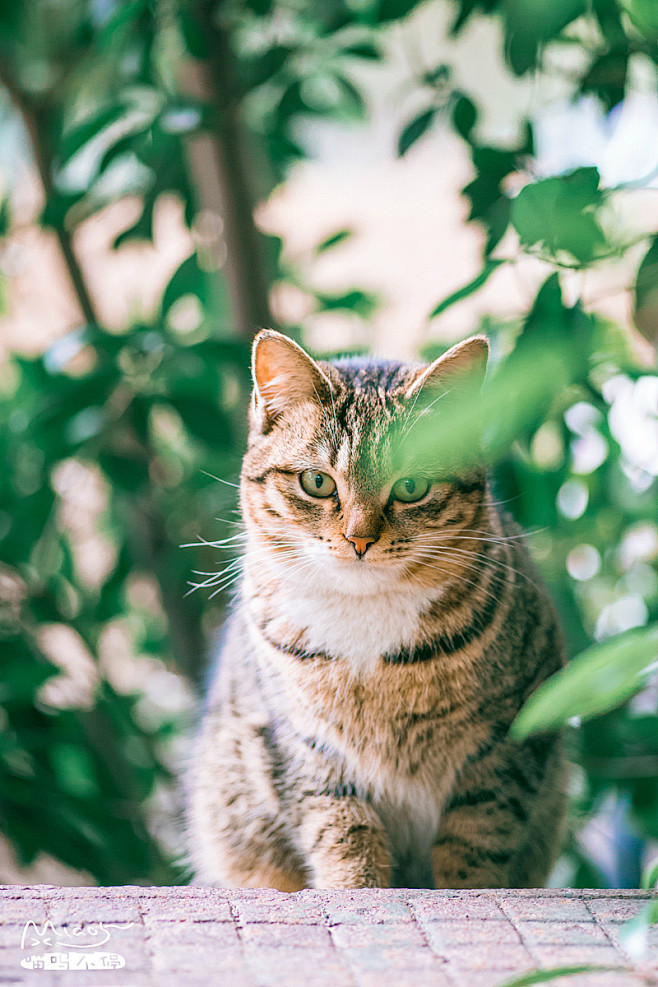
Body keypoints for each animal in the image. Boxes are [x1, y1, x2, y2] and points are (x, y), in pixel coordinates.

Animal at [186, 332, 564, 896]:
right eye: (317, 482)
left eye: (410, 488)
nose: (359, 539)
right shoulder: (301, 745)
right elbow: (343, 832)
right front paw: (355, 891)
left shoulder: (507, 739)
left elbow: (477, 837)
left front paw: (467, 892)